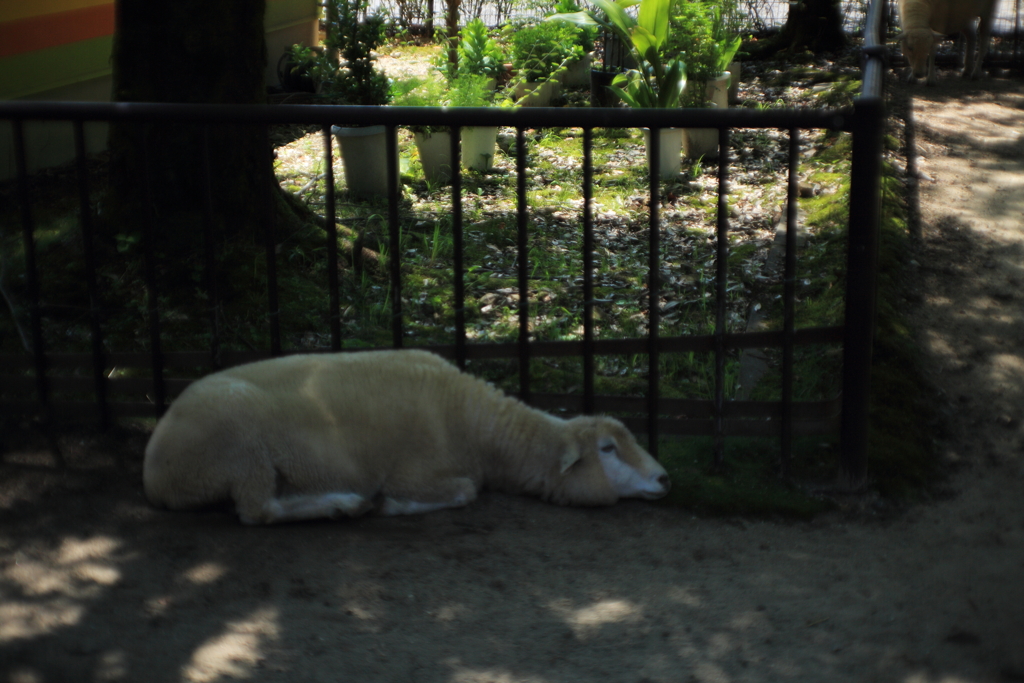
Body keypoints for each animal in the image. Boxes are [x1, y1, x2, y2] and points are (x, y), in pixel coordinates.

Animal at [144, 350, 671, 528]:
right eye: (607, 450)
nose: (665, 479)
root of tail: (154, 468)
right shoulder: (419, 472)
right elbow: (464, 492)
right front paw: (389, 506)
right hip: (242, 452)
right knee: (257, 511)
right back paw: (343, 505)